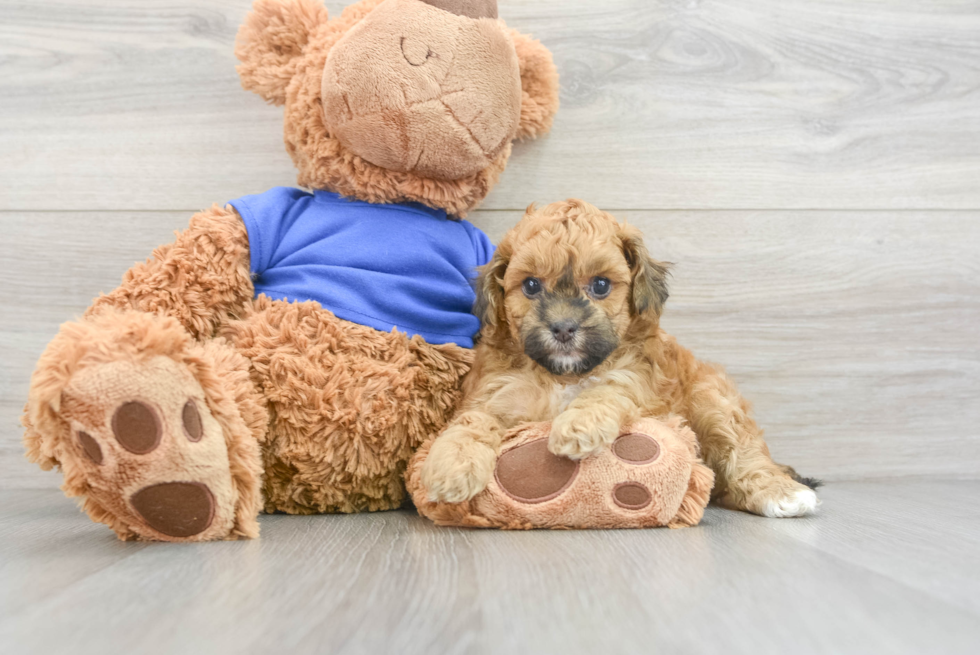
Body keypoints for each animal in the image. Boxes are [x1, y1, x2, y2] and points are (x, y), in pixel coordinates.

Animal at [422, 200, 820, 516]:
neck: (563, 376)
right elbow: (471, 423)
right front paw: (451, 467)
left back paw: (782, 494)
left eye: (600, 285)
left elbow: (606, 391)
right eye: (531, 286)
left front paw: (577, 426)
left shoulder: (637, 380)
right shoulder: (495, 394)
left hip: (713, 400)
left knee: (745, 455)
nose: (563, 328)